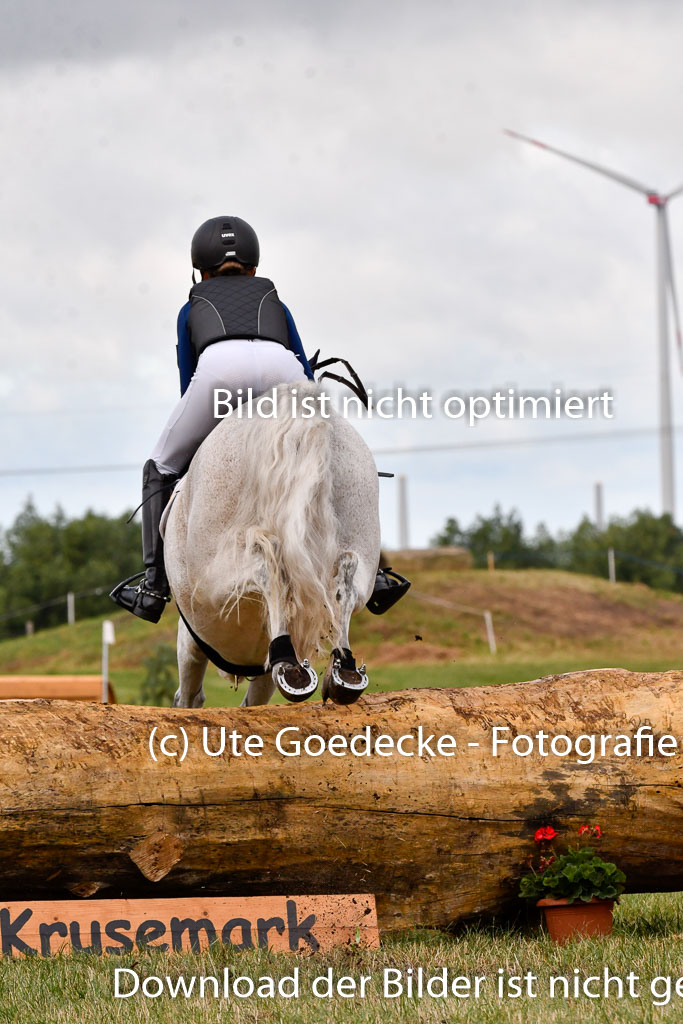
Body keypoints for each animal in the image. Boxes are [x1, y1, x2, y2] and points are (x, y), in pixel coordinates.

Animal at [163, 380, 382, 708]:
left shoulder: (192, 638)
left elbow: (190, 696)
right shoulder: (259, 669)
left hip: (214, 577)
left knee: (271, 567)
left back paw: (289, 661)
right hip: (360, 535)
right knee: (345, 578)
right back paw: (343, 669)